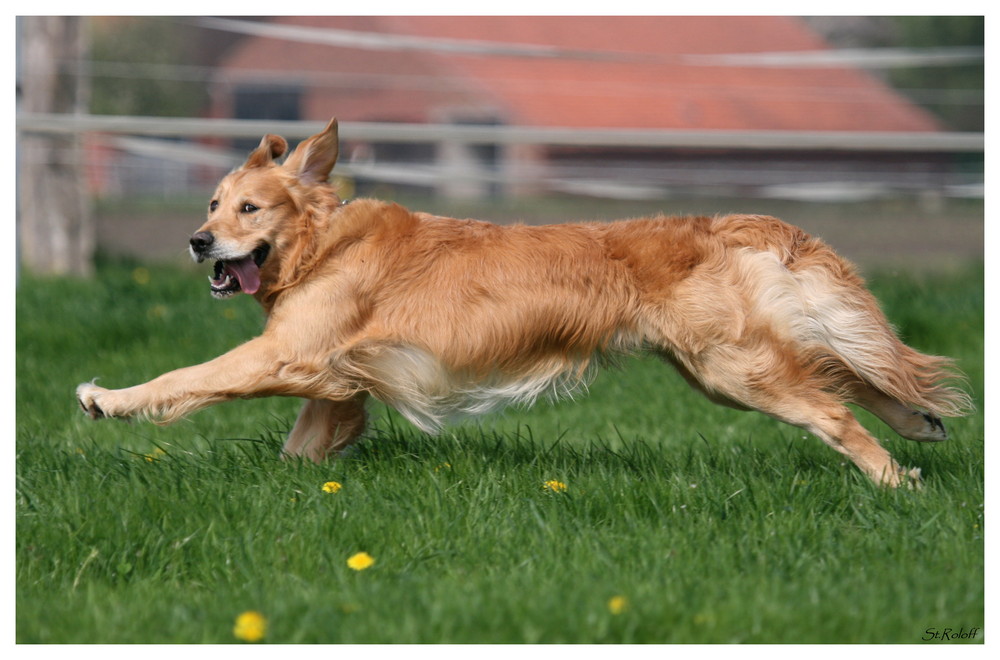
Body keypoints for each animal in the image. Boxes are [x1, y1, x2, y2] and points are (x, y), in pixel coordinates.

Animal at [76, 118, 968, 484]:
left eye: (249, 209)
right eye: (212, 204)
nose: (197, 241)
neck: (322, 244)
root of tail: (726, 222)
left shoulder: (287, 355)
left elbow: (186, 378)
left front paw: (105, 398)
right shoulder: (338, 382)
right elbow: (305, 446)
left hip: (734, 369)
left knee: (834, 406)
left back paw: (897, 481)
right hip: (720, 368)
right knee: (847, 374)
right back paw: (920, 425)